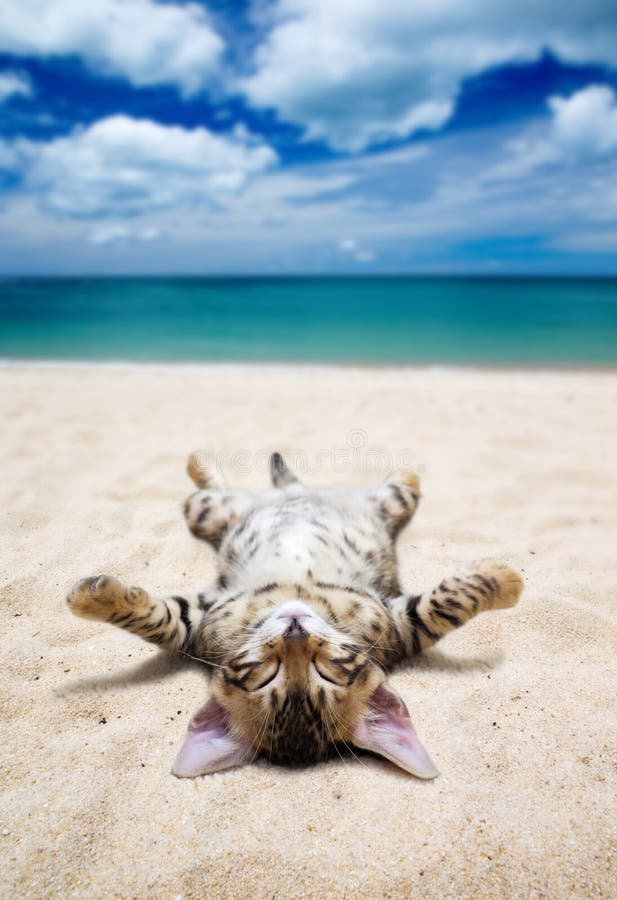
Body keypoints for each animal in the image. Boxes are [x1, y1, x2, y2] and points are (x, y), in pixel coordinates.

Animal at [66, 454, 520, 776]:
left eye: (326, 671)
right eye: (266, 674)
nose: (295, 633)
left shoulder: (397, 623)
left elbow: (445, 604)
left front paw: (506, 581)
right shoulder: (202, 619)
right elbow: (158, 619)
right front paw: (92, 600)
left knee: (393, 495)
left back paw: (406, 475)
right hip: (216, 512)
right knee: (217, 496)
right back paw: (201, 465)